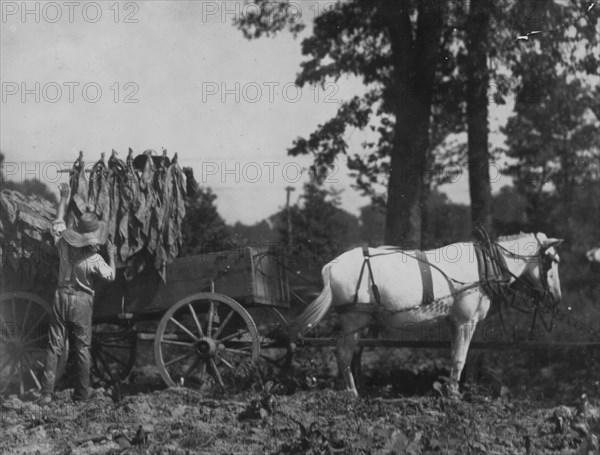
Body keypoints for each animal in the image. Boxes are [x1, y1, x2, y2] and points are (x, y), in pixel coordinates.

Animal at [290, 233, 564, 398]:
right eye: (551, 262)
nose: (557, 300)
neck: (482, 266)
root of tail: (331, 266)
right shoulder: (466, 322)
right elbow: (460, 359)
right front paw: (453, 395)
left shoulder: (455, 323)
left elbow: (455, 356)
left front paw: (452, 390)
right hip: (353, 321)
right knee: (343, 355)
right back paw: (352, 394)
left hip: (357, 325)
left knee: (348, 355)